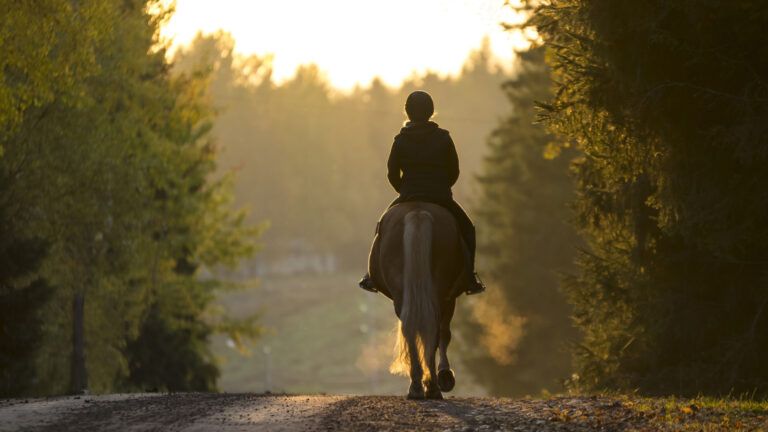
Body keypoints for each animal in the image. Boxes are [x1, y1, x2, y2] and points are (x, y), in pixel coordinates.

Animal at [368, 202, 464, 398]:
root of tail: (417, 212)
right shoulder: (450, 297)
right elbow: (445, 333)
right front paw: (445, 375)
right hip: (440, 290)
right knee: (433, 329)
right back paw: (431, 386)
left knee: (411, 328)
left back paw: (418, 386)